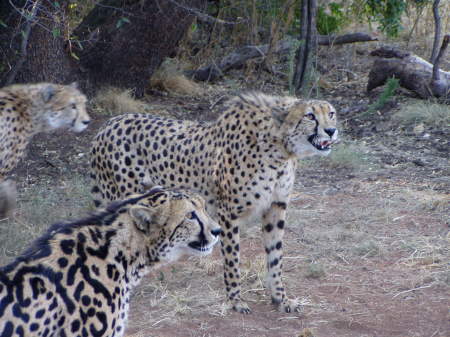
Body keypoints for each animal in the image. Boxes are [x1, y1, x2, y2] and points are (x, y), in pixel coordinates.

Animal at [90, 91, 338, 312]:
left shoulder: (275, 208)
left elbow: (275, 256)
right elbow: (232, 258)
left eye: (331, 113)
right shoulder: (229, 213)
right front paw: (236, 301)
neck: (280, 147)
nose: (331, 130)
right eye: (310, 116)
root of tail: (108, 124)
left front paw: (281, 299)